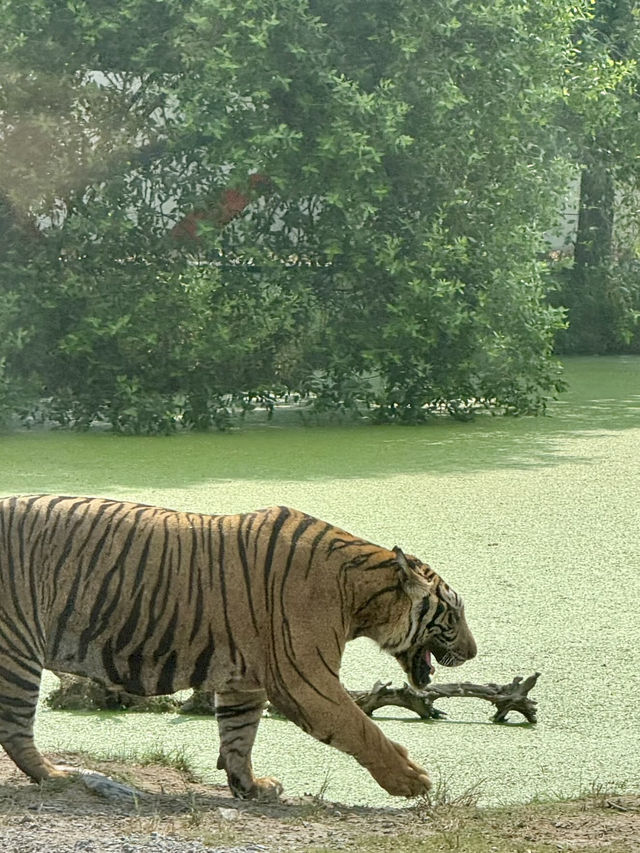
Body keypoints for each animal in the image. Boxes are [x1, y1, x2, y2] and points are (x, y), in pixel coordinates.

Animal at [0, 492, 476, 800]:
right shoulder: (306, 679)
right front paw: (412, 781)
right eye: (454, 613)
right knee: (15, 727)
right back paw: (56, 775)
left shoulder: (243, 678)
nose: (473, 652)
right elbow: (362, 728)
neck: (361, 592)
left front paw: (249, 786)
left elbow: (239, 734)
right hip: (18, 647)